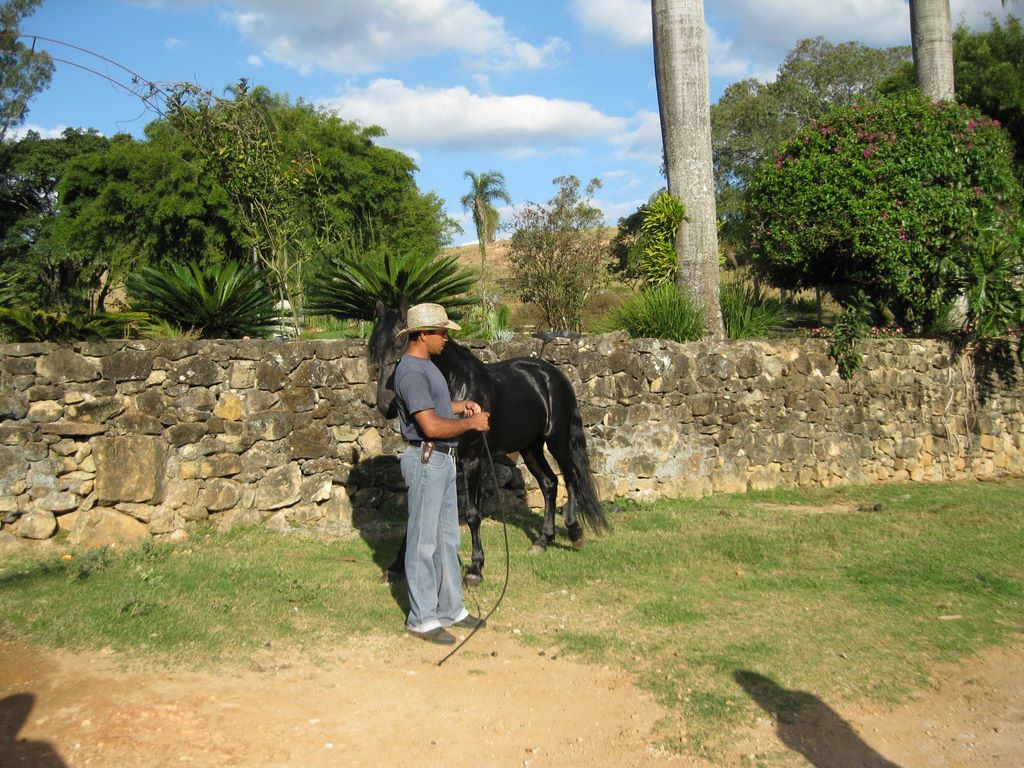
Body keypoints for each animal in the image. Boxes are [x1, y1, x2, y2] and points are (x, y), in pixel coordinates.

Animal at [368, 299, 607, 585]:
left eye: (400, 344)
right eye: (374, 347)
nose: (386, 405)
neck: (456, 384)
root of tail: (553, 374)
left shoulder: (471, 459)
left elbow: (473, 515)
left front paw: (475, 569)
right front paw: (396, 567)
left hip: (557, 440)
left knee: (571, 478)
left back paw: (574, 532)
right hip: (530, 447)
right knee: (550, 483)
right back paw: (542, 540)